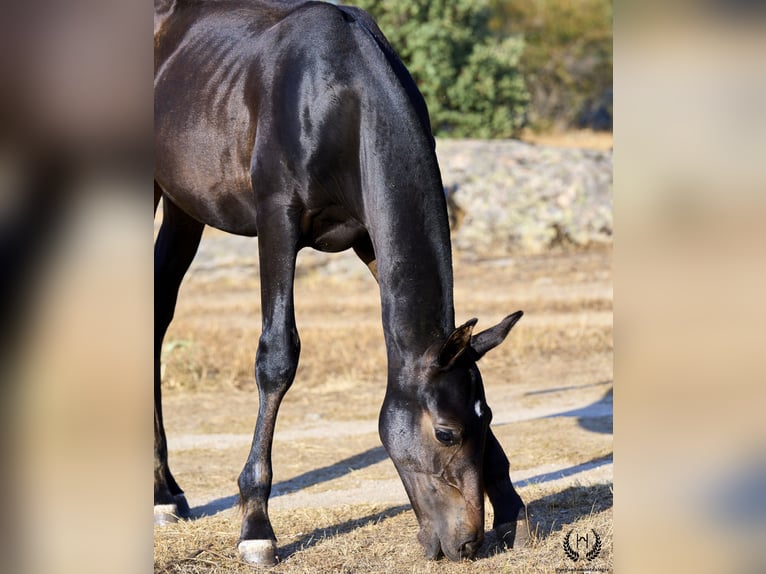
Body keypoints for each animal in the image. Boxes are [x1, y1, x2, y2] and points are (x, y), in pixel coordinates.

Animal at [154, 0, 528, 568]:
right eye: (444, 433)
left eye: (483, 423)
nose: (466, 543)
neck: (337, 95)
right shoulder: (277, 220)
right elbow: (277, 357)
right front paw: (256, 526)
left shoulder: (370, 237)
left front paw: (510, 506)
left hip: (183, 208)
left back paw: (167, 492)